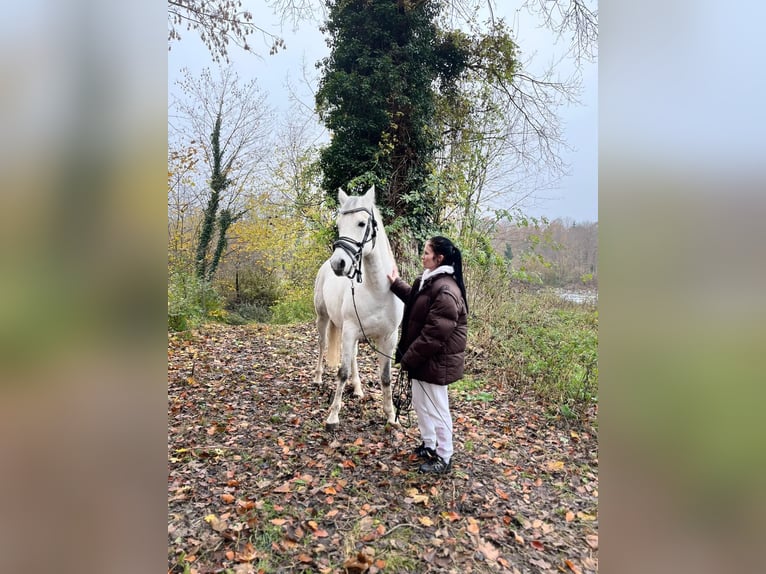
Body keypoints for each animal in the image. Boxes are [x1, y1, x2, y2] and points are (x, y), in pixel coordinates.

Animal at [313, 185, 404, 431]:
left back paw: (358, 389)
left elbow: (385, 377)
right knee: (323, 345)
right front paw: (333, 417)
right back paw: (318, 378)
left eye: (362, 224)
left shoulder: (388, 338)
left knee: (353, 356)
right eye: (338, 225)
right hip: (324, 320)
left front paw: (391, 416)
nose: (338, 264)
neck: (377, 290)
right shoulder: (350, 331)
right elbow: (342, 372)